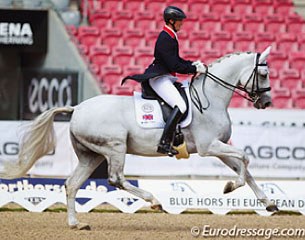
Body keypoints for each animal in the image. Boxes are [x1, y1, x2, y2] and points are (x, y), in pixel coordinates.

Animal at [0, 46, 276, 229]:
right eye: (263, 75)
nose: (266, 102)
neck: (212, 98)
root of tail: (76, 108)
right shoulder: (210, 146)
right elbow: (245, 158)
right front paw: (229, 187)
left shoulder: (219, 148)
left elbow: (245, 169)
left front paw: (269, 204)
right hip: (115, 147)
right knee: (116, 179)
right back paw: (154, 202)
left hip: (91, 155)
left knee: (72, 184)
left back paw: (75, 223)